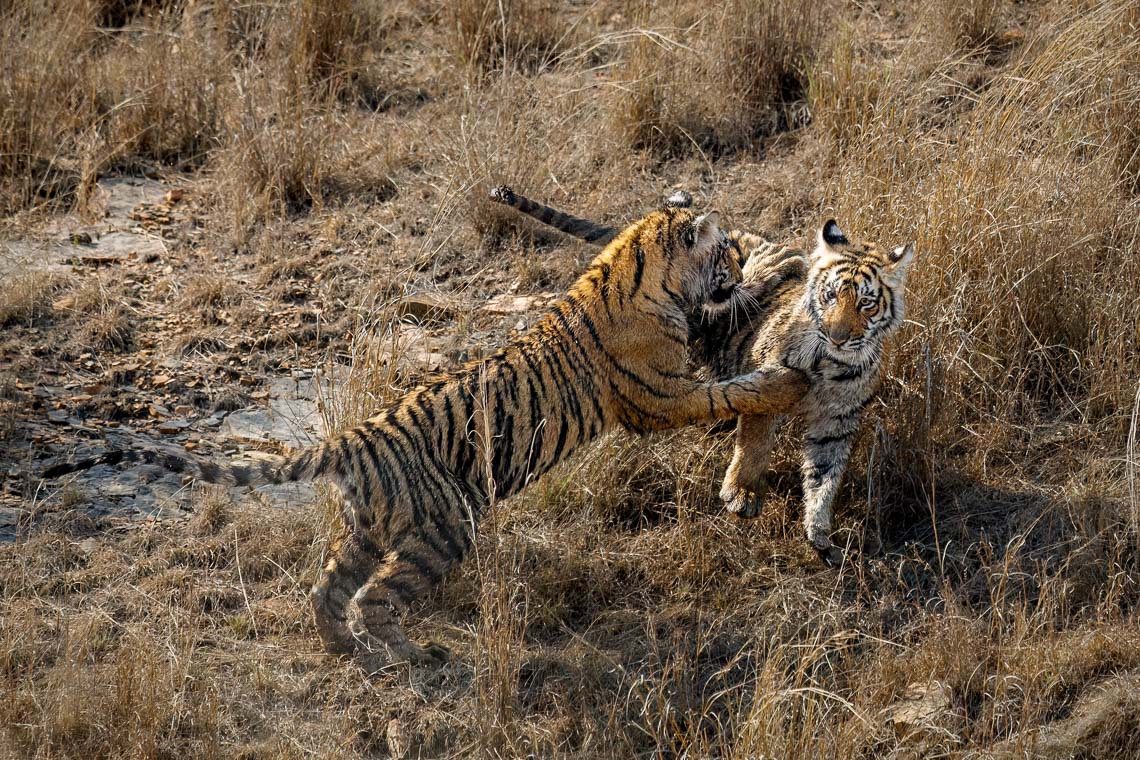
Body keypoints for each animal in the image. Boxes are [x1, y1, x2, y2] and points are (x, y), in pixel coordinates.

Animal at [42, 201, 811, 665]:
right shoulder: (659, 396)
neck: (639, 267)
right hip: (445, 525)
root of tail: (351, 441)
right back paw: (408, 655)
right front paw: (782, 359)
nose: (732, 252)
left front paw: (776, 267)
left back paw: (344, 651)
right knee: (374, 599)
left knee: (327, 591)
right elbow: (729, 386)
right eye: (721, 250)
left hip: (365, 528)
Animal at [492, 184, 916, 565]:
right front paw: (742, 494)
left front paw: (819, 534)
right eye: (830, 296)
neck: (833, 365)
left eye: (865, 303)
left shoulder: (836, 421)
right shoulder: (758, 370)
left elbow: (824, 477)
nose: (837, 335)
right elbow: (754, 435)